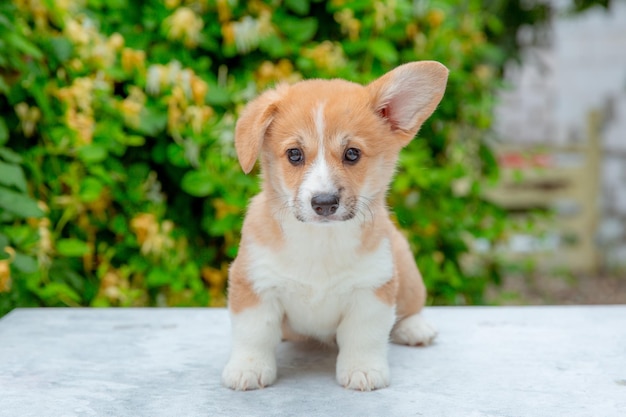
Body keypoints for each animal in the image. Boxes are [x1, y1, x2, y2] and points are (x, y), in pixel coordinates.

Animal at [222, 61, 446, 390]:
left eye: (352, 154)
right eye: (294, 154)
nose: (324, 203)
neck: (321, 239)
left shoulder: (371, 290)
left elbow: (364, 337)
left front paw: (363, 370)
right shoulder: (254, 284)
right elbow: (254, 333)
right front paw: (248, 369)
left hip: (405, 272)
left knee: (410, 307)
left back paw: (415, 328)